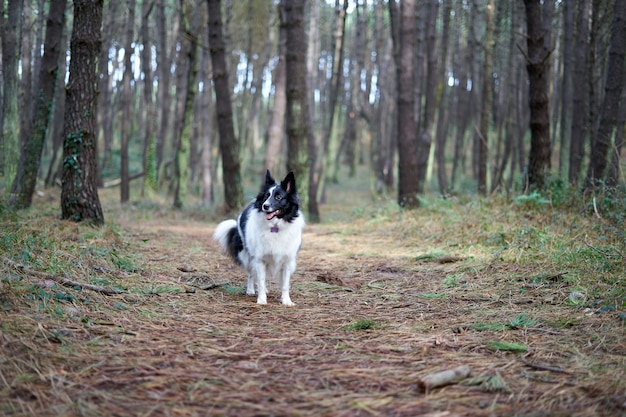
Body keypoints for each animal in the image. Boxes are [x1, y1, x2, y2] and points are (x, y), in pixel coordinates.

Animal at [212, 170, 304, 306]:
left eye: (278, 197)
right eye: (266, 196)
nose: (265, 206)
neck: (275, 227)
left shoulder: (287, 260)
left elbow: (285, 284)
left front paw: (286, 300)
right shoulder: (260, 259)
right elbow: (260, 280)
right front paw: (261, 300)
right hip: (247, 255)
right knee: (251, 273)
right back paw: (251, 290)